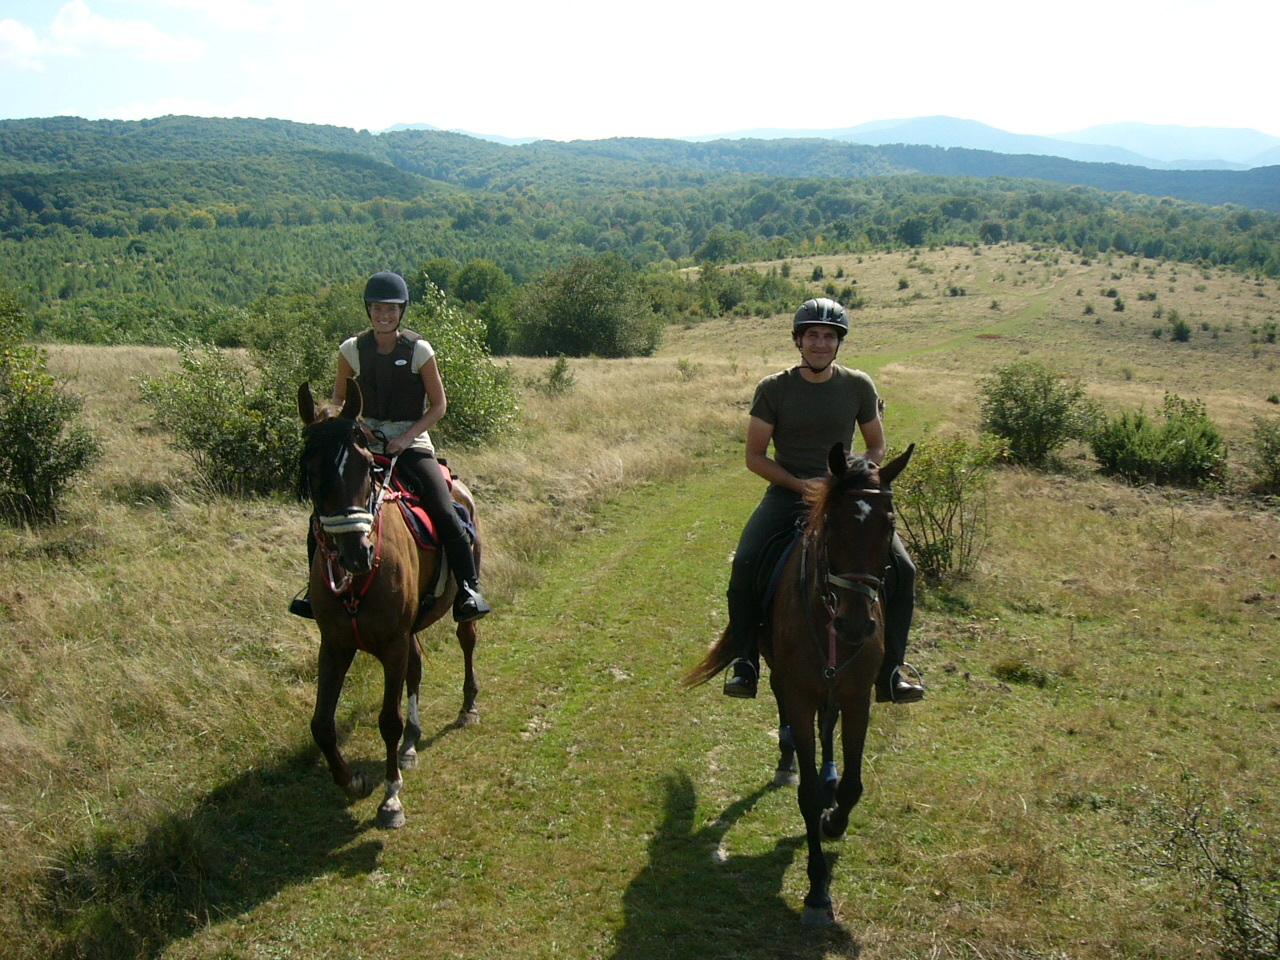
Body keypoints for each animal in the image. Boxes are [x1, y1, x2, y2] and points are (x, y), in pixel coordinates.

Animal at [296, 378, 481, 829]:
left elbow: (388, 720)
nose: (355, 554)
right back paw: (412, 745)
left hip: (456, 608)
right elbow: (321, 725)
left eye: (367, 468)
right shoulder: (335, 645)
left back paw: (468, 705)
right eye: (311, 469)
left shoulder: (392, 644)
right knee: (416, 670)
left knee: (467, 639)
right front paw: (354, 782)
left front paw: (391, 798)